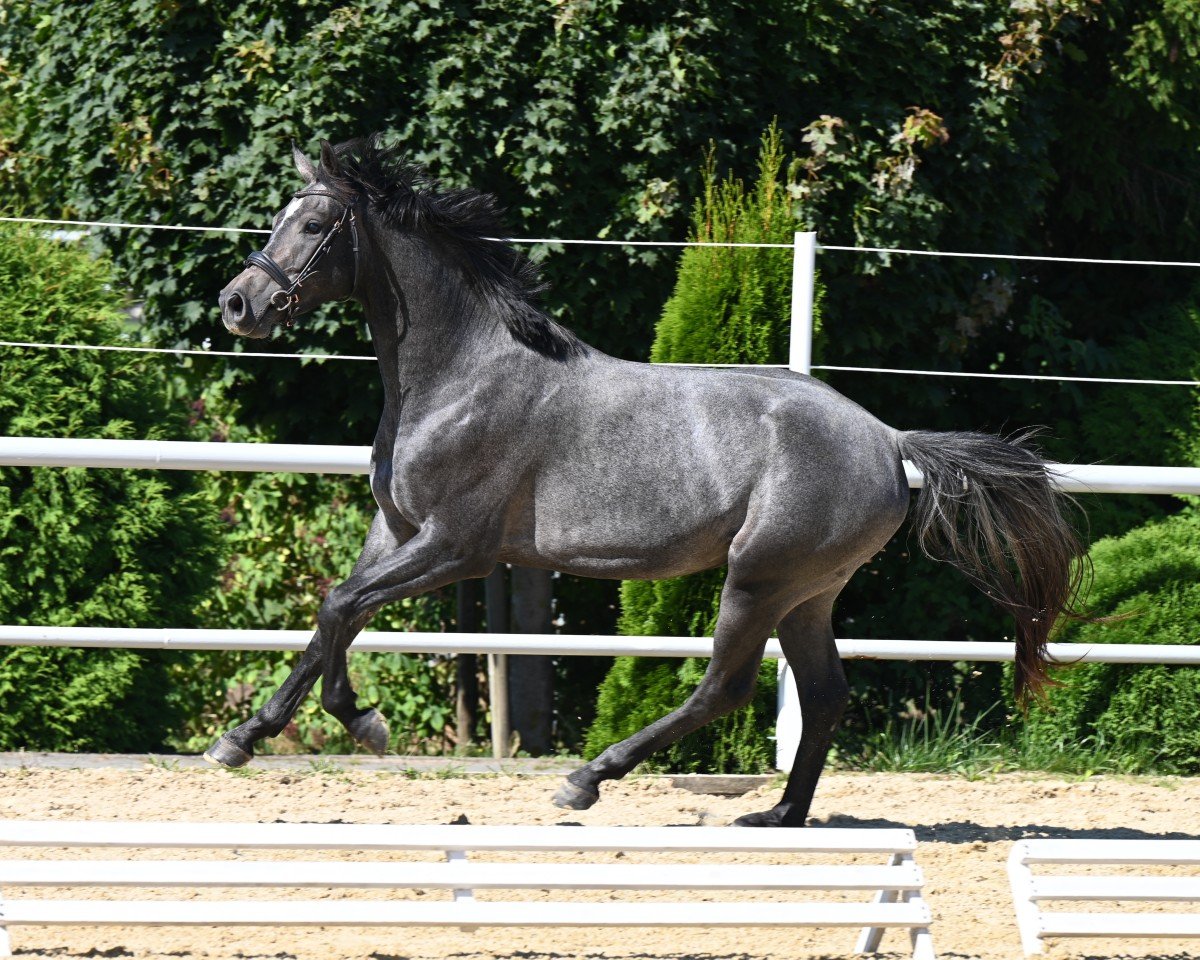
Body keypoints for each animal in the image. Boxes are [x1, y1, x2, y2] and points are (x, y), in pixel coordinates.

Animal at [214, 136, 1086, 827]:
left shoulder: (457, 547)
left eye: (315, 226)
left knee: (726, 688)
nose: (237, 304)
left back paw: (587, 780)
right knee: (824, 693)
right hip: (808, 591)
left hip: (758, 578)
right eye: (280, 217)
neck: (462, 376)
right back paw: (779, 816)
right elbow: (330, 620)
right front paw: (244, 739)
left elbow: (339, 608)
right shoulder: (394, 530)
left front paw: (361, 723)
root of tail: (886, 439)